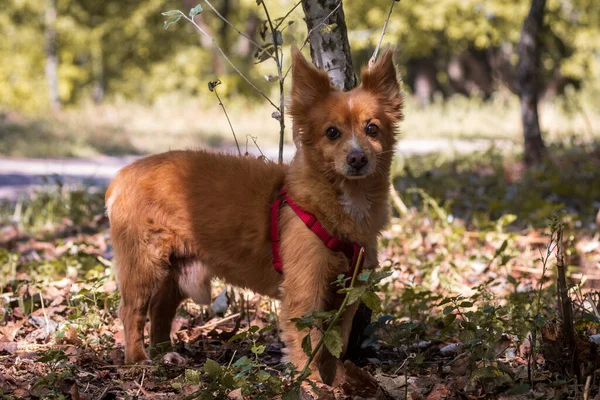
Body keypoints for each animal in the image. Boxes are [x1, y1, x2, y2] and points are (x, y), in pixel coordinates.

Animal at [106, 47, 404, 384]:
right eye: (332, 133)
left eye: (372, 129)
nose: (357, 158)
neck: (343, 201)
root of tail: (124, 174)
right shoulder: (305, 293)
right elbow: (309, 345)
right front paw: (312, 383)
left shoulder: (345, 297)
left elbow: (332, 345)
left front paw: (337, 381)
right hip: (144, 265)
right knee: (132, 312)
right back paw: (138, 360)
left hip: (177, 272)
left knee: (160, 309)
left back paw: (164, 353)